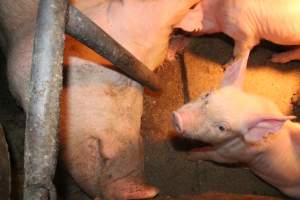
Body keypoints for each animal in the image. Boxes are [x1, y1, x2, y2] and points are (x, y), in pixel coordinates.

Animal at [172, 54, 300, 198]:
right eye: (207, 95)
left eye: (222, 128)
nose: (178, 118)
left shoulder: (230, 156)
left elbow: (210, 155)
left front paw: (189, 155)